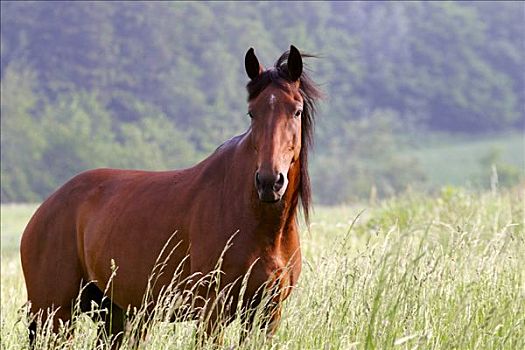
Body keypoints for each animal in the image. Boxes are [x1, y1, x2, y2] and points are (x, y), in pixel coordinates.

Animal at [20, 45, 322, 346]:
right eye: (252, 113)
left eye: (296, 111)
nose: (270, 182)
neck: (259, 224)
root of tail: (44, 210)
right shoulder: (213, 312)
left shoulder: (266, 314)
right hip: (55, 315)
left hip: (112, 314)